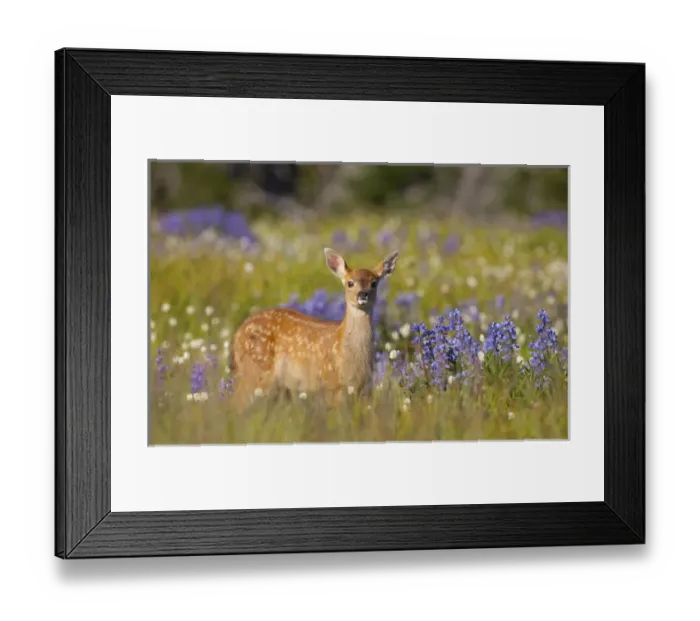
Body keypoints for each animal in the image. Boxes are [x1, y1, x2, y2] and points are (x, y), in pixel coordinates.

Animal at [229, 247, 399, 409]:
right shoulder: (330, 384)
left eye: (374, 283)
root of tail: (238, 333)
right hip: (254, 371)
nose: (363, 294)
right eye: (350, 283)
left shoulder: (364, 388)